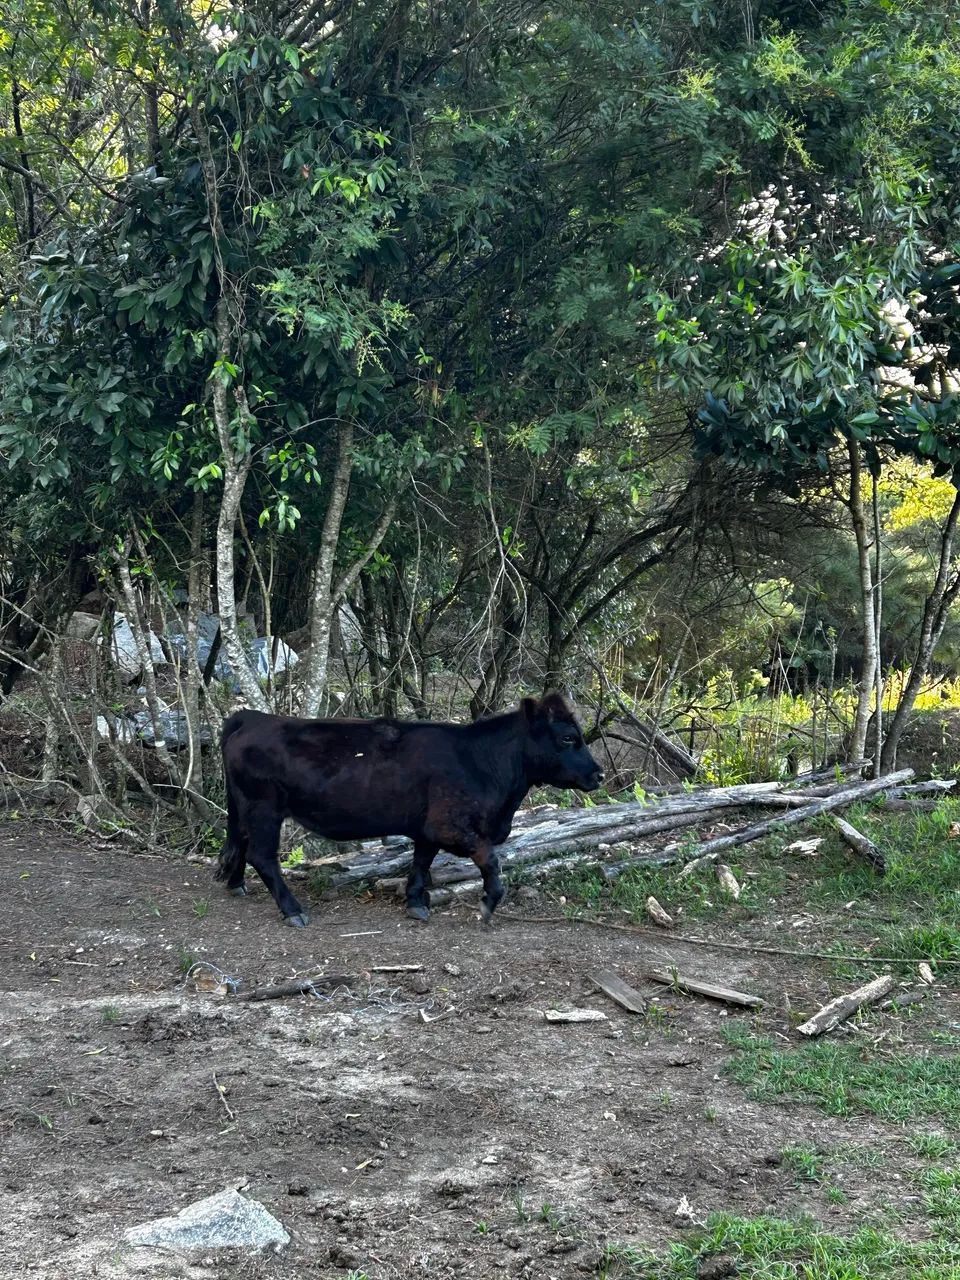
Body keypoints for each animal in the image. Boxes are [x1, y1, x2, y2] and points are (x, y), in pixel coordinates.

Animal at [216, 692, 604, 927]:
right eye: (568, 737)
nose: (599, 774)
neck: (480, 761)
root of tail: (254, 718)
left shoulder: (427, 828)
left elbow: (421, 862)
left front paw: (416, 901)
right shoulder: (452, 825)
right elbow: (491, 861)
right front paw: (488, 902)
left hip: (245, 806)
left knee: (240, 842)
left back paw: (236, 884)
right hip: (264, 808)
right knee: (263, 856)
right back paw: (292, 909)